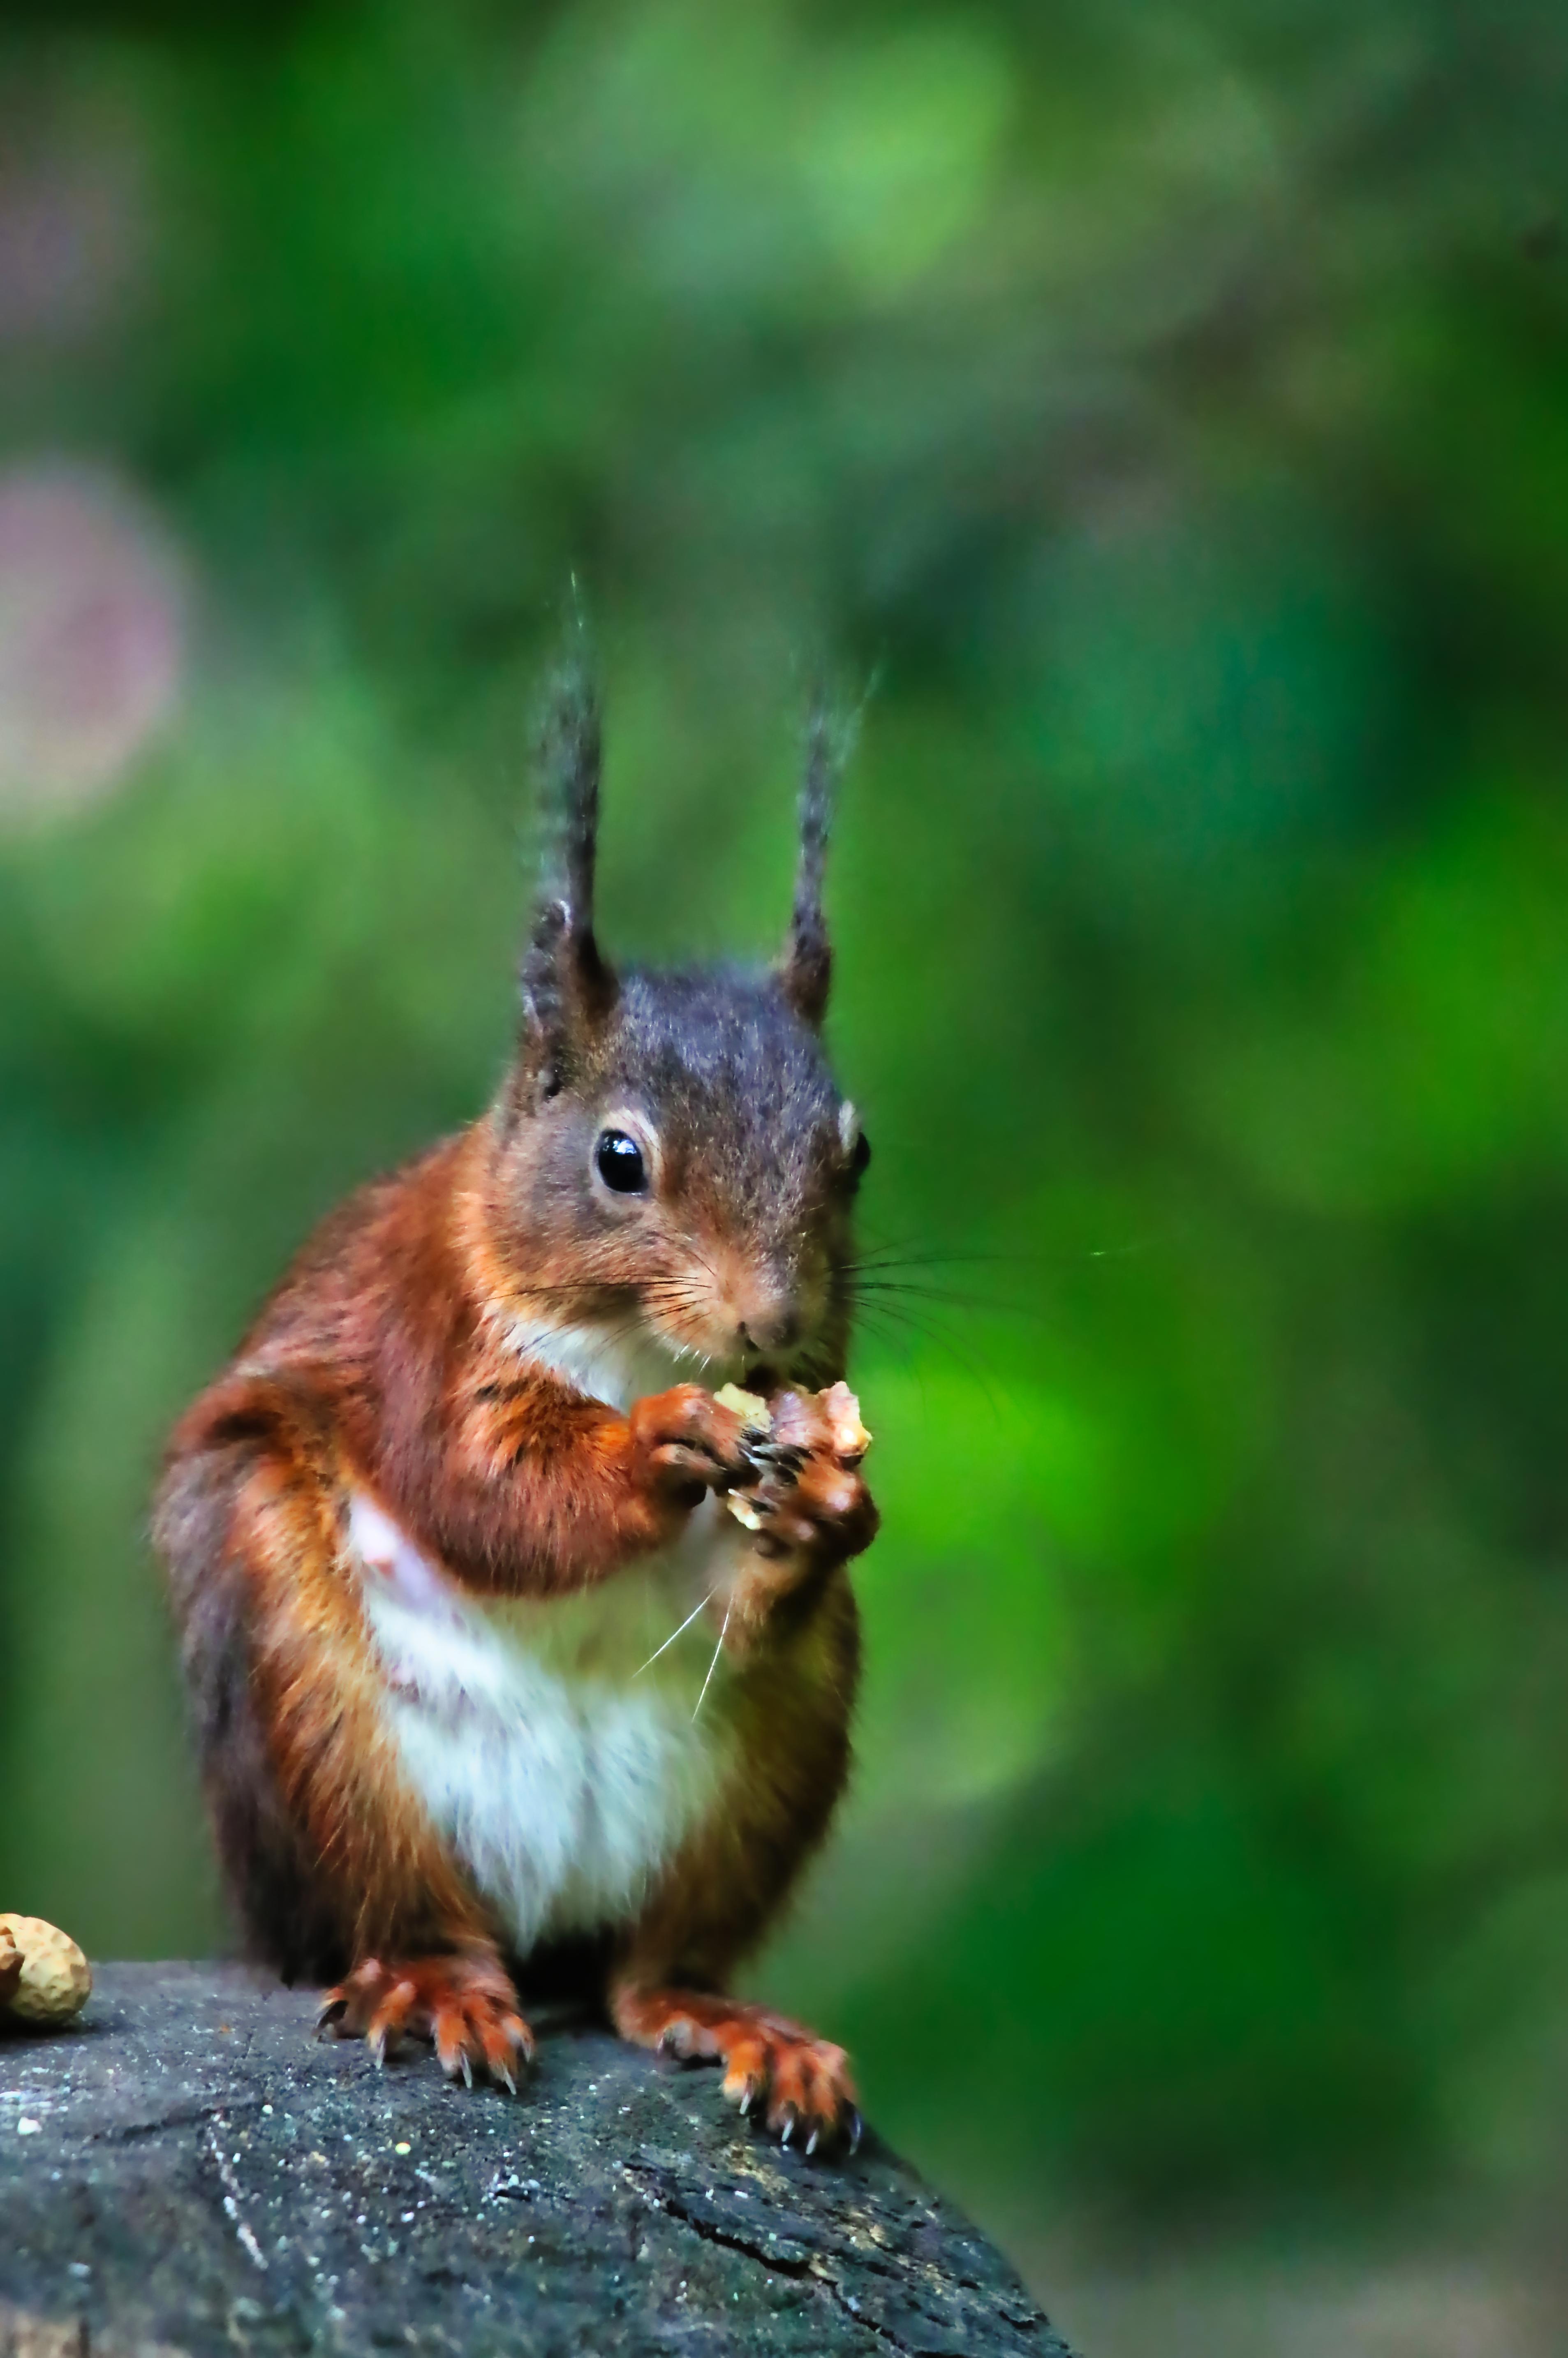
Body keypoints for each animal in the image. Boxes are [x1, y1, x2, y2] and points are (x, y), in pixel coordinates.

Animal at [159, 665, 882, 2160]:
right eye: (618, 1159)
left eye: (856, 1153)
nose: (775, 1325)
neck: (622, 1342)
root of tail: (540, 1924)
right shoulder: (419, 1328)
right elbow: (484, 1488)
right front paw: (661, 1442)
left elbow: (741, 1596)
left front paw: (830, 1503)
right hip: (314, 1723)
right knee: (411, 1913)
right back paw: (432, 1984)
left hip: (760, 1782)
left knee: (647, 1974)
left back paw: (734, 2024)